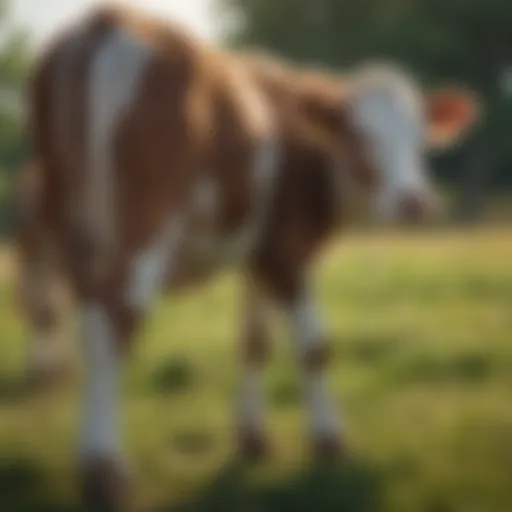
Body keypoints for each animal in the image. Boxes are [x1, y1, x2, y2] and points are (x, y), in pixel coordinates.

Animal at [17, 5, 480, 508]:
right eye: (359, 137)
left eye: (420, 138)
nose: (414, 201)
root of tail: (106, 19)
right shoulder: (288, 251)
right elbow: (315, 346)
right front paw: (329, 441)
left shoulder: (258, 256)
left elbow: (255, 342)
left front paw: (252, 437)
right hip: (143, 226)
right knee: (112, 325)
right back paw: (104, 469)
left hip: (72, 230)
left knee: (79, 317)